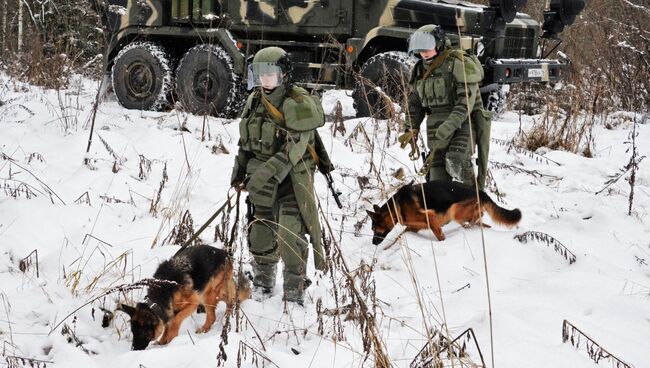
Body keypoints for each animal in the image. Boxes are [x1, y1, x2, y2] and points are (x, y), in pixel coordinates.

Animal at [116, 244, 248, 350]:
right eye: (133, 332)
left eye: (141, 334)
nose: (134, 349)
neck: (162, 292)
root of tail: (225, 253)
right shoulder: (170, 309)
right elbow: (168, 323)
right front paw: (162, 341)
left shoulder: (193, 302)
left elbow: (175, 320)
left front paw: (170, 338)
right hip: (213, 292)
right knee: (232, 300)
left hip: (207, 295)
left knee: (213, 316)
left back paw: (208, 327)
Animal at [364, 180, 520, 246]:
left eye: (374, 228)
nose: (373, 243)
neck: (396, 207)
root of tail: (481, 192)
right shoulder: (414, 227)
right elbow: (399, 236)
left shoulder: (431, 218)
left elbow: (439, 235)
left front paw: (443, 242)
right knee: (481, 219)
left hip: (455, 210)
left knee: (478, 216)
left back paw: (469, 225)